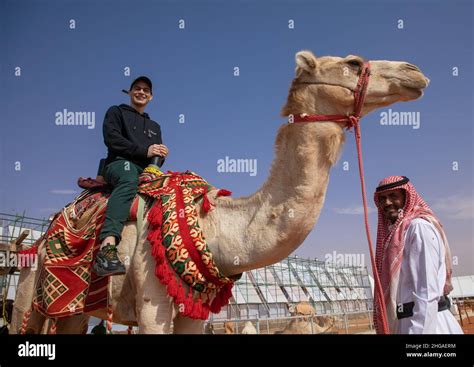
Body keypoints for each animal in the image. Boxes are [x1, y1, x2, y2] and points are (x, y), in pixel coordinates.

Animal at [11, 50, 428, 334]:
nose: (416, 71)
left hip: (73, 309)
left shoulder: (195, 310)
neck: (214, 226)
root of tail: (43, 235)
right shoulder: (151, 302)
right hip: (28, 290)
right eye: (353, 62)